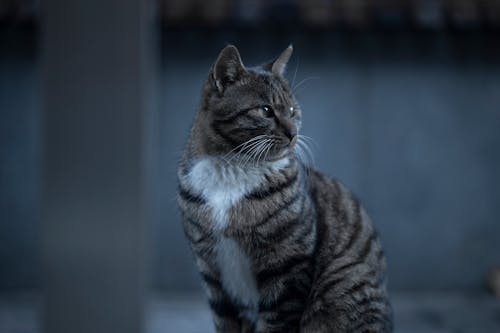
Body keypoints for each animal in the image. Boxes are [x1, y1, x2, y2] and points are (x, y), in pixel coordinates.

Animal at [178, 44, 392, 332]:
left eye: (292, 109)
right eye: (266, 110)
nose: (293, 133)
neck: (232, 169)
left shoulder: (287, 269)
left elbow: (277, 323)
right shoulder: (213, 275)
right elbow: (226, 323)